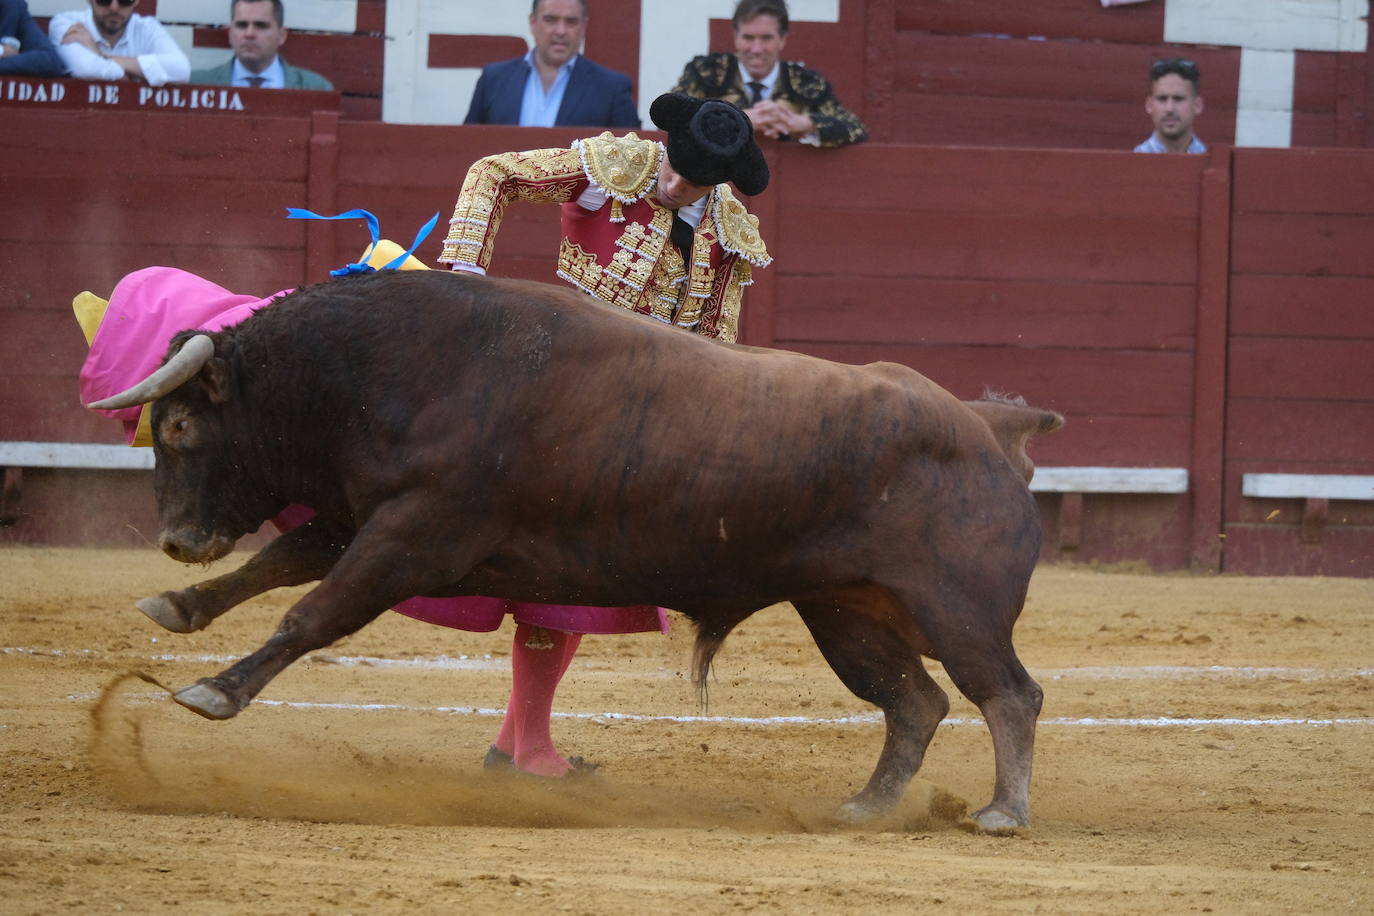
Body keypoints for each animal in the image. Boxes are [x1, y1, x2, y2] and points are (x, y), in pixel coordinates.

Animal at [94, 269, 1060, 834]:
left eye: (178, 426)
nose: (177, 541)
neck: (388, 365)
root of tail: (988, 425)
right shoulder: (364, 518)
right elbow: (278, 563)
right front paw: (177, 608)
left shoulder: (415, 535)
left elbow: (311, 610)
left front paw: (215, 691)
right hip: (847, 611)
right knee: (914, 703)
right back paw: (866, 806)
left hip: (957, 608)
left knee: (1007, 694)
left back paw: (1002, 812)